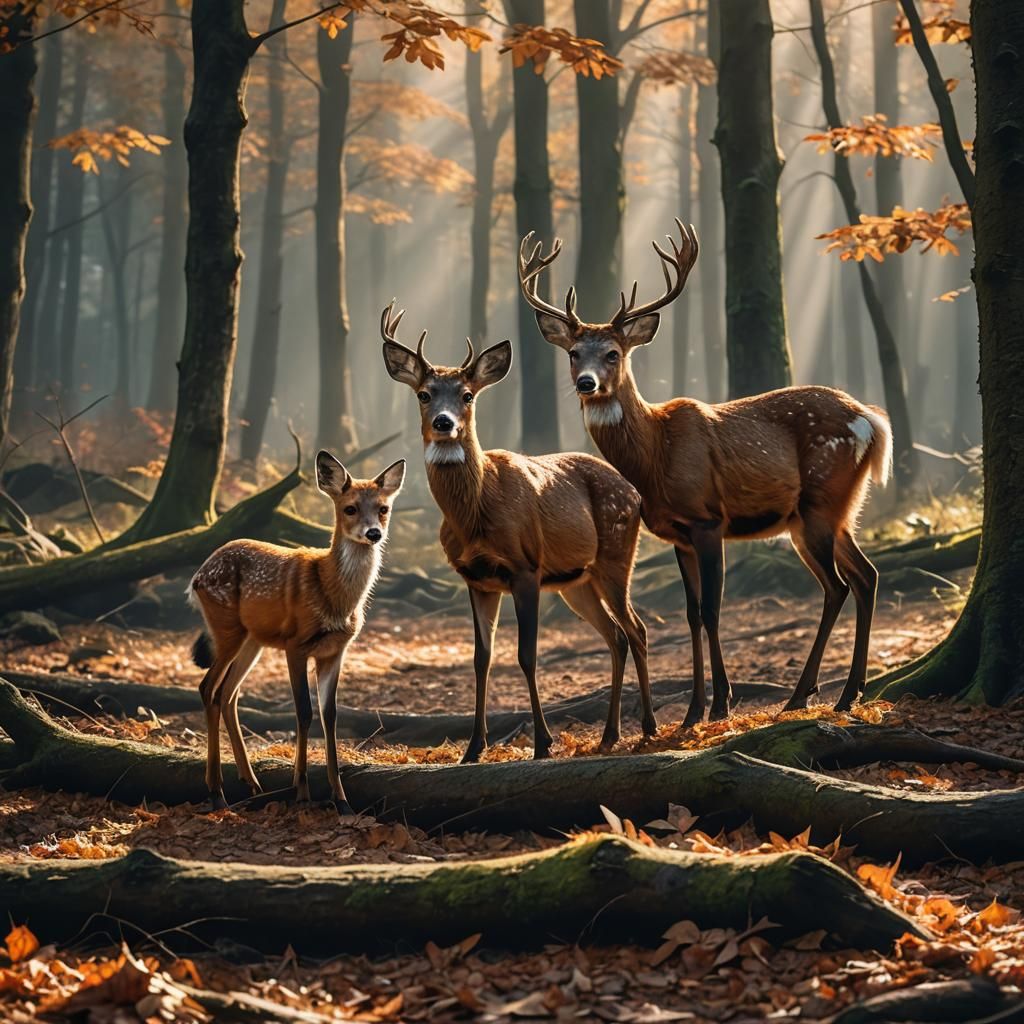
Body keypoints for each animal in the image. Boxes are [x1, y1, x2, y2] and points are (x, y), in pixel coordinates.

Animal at [187, 452, 406, 811]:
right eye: (350, 508)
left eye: (383, 508)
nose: (373, 533)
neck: (334, 597)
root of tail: (197, 575)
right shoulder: (296, 644)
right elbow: (303, 711)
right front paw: (302, 791)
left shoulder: (335, 652)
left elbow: (330, 716)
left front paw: (340, 799)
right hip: (228, 631)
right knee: (208, 688)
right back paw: (216, 791)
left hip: (252, 642)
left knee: (227, 694)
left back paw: (251, 782)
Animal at [380, 302, 655, 762]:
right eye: (424, 393)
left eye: (467, 395)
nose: (443, 422)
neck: (475, 517)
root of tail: (634, 491)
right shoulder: (476, 579)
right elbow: (481, 659)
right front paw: (473, 748)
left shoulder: (526, 568)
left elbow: (527, 655)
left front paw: (543, 743)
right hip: (577, 581)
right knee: (616, 635)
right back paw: (608, 735)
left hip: (616, 555)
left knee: (637, 628)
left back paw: (648, 728)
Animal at [519, 219, 893, 723]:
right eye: (574, 352)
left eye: (614, 352)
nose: (586, 383)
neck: (655, 459)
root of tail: (870, 420)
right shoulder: (677, 534)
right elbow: (692, 613)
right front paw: (694, 708)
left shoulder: (708, 518)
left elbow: (715, 610)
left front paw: (720, 704)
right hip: (824, 514)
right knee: (866, 576)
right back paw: (849, 690)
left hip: (822, 499)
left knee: (837, 586)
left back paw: (805, 693)